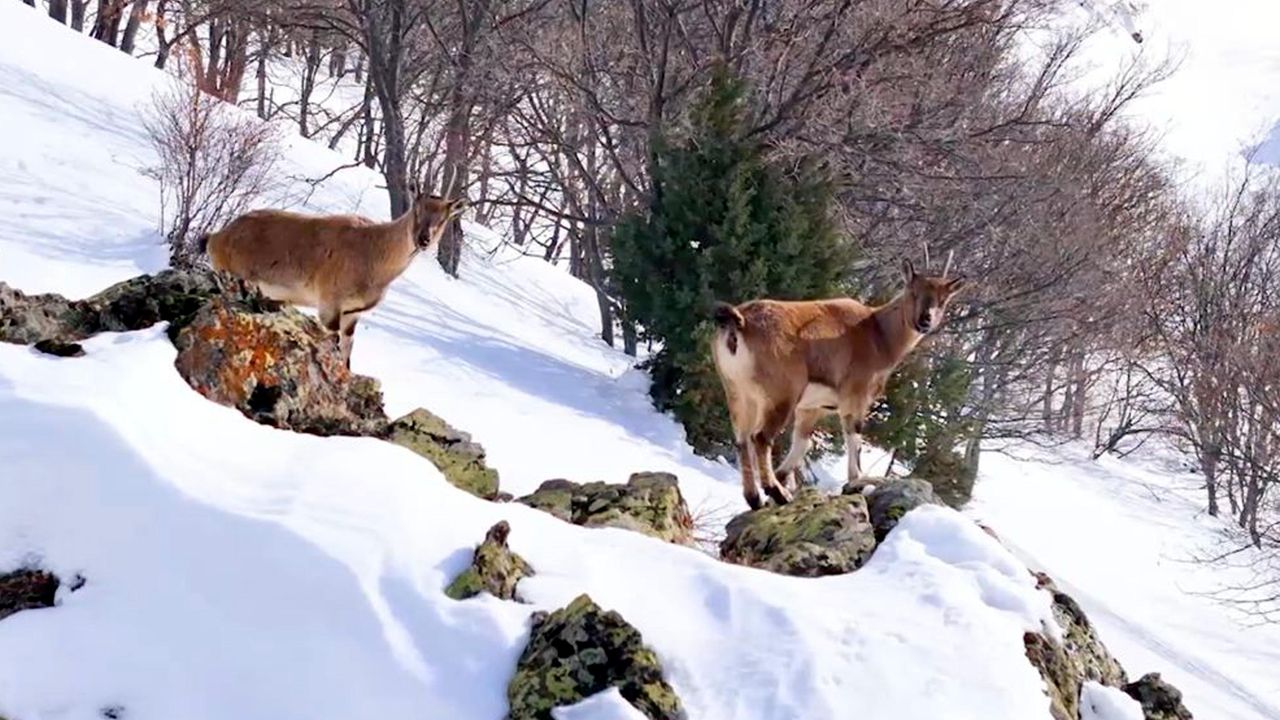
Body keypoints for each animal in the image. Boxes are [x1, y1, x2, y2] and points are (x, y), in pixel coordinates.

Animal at [199, 186, 466, 367]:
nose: (424, 240)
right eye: (416, 209)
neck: (373, 254)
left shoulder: (352, 314)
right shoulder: (330, 305)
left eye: (444, 217)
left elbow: (347, 355)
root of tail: (217, 237)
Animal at [711, 255, 968, 510]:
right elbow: (854, 436)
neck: (878, 336)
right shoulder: (855, 395)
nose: (925, 320)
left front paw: (782, 480)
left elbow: (801, 443)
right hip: (781, 394)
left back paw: (755, 498)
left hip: (737, 391)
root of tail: (739, 324)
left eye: (943, 299)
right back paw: (778, 493)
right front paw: (856, 482)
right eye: (913, 292)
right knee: (761, 438)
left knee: (742, 440)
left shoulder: (812, 406)